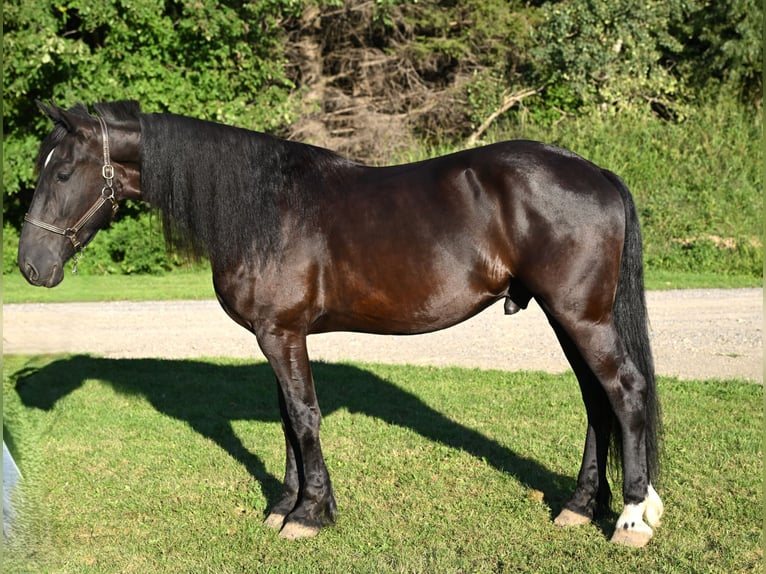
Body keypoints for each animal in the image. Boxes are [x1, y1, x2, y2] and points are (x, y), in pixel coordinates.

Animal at [18, 100, 663, 546]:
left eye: (63, 172)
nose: (31, 266)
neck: (263, 207)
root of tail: (595, 172)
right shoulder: (277, 336)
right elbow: (286, 419)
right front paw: (284, 505)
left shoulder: (281, 333)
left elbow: (305, 417)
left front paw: (309, 516)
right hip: (566, 316)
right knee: (596, 399)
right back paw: (580, 506)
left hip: (580, 316)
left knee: (625, 391)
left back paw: (630, 518)